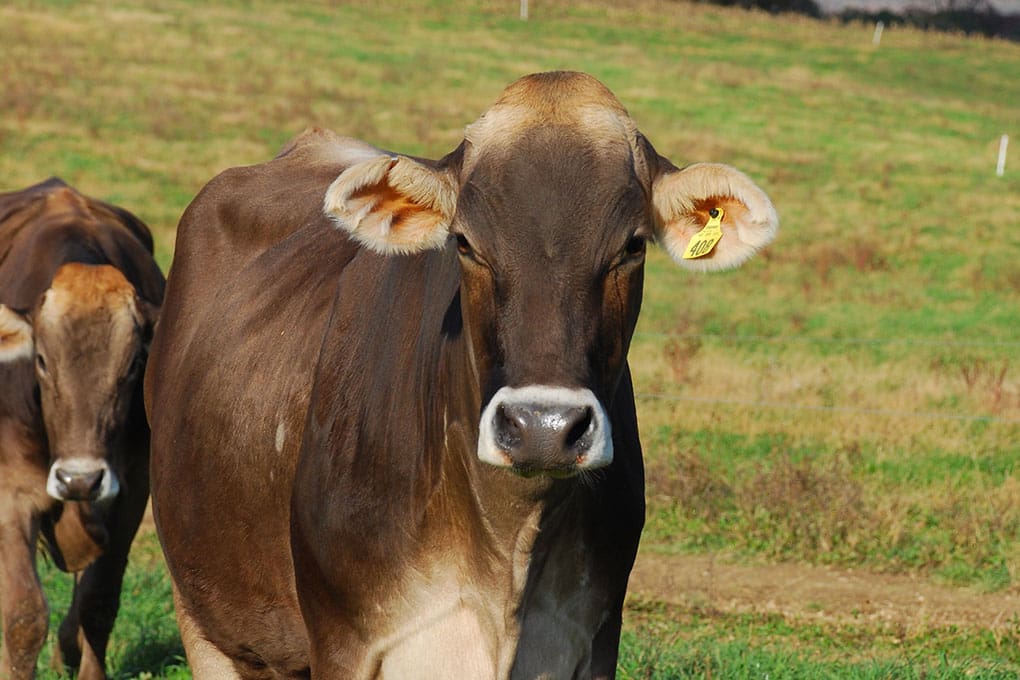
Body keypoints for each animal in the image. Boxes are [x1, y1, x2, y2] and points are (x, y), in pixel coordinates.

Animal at [0, 178, 165, 676]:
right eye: (40, 360)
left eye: (132, 367)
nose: (80, 479)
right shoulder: (10, 491)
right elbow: (24, 615)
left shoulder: (132, 488)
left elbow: (98, 600)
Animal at [147, 70, 775, 680]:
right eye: (467, 243)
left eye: (632, 246)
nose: (543, 427)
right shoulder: (344, 643)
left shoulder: (593, 641)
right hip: (203, 614)